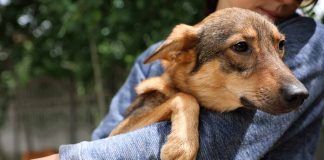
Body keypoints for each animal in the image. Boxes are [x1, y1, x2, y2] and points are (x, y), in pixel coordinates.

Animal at [107, 7, 308, 160]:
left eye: (281, 44)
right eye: (240, 46)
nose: (301, 95)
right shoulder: (118, 131)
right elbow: (186, 97)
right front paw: (181, 146)